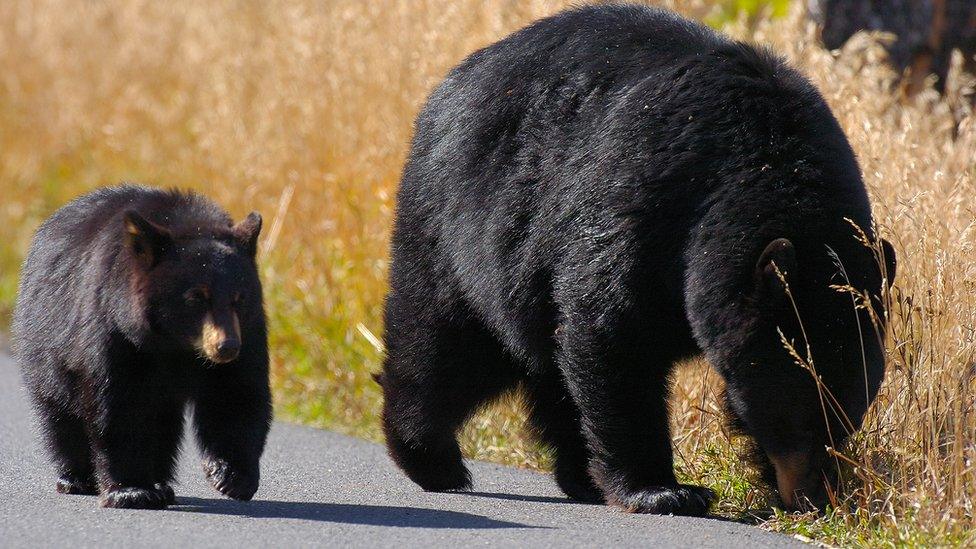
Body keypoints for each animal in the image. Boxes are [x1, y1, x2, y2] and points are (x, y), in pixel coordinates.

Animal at [15, 184, 272, 510]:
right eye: (196, 297)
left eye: (239, 298)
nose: (226, 347)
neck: (175, 345)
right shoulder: (116, 331)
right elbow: (119, 404)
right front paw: (131, 490)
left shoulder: (248, 332)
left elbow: (236, 394)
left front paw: (231, 476)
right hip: (47, 347)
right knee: (59, 413)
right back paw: (77, 478)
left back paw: (161, 483)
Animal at [378, 4, 896, 516]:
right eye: (799, 414)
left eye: (848, 415)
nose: (813, 496)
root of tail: (450, 84)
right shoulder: (646, 205)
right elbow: (615, 333)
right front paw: (664, 491)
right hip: (459, 228)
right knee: (445, 342)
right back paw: (431, 457)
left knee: (550, 369)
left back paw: (580, 476)